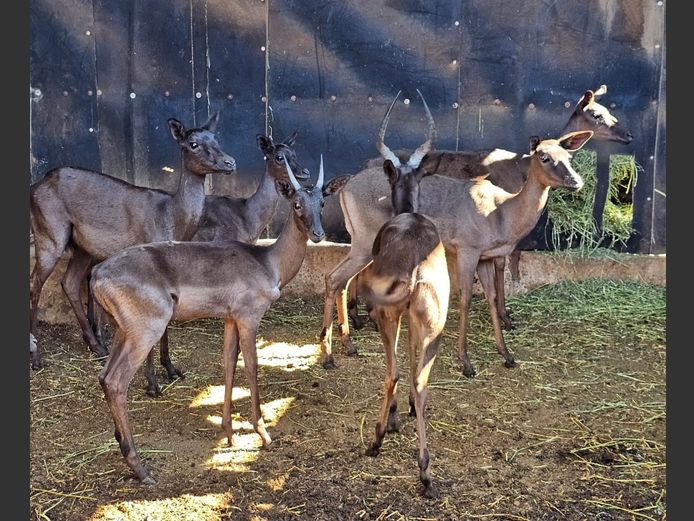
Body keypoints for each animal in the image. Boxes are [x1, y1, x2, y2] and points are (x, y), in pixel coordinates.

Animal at [29, 112, 236, 370]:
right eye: (193, 143)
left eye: (215, 138)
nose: (230, 162)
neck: (171, 220)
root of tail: (34, 187)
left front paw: (170, 367)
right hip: (49, 233)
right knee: (35, 284)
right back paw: (37, 357)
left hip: (82, 246)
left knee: (69, 282)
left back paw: (97, 346)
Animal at [90, 156, 351, 484]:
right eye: (296, 202)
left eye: (322, 201)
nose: (318, 233)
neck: (269, 263)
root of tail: (96, 274)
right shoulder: (249, 316)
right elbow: (251, 367)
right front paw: (263, 433)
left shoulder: (229, 319)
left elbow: (228, 364)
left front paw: (228, 433)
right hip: (145, 331)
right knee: (116, 381)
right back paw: (141, 468)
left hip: (122, 332)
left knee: (103, 376)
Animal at [318, 93, 594, 376]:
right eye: (544, 156)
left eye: (568, 157)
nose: (575, 181)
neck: (500, 209)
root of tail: (347, 185)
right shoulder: (467, 253)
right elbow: (465, 299)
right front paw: (466, 361)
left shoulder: (485, 258)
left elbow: (492, 298)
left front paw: (506, 354)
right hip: (364, 246)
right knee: (334, 278)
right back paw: (330, 355)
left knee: (343, 281)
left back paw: (349, 343)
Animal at [344, 85, 632, 334]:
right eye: (596, 114)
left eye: (608, 109)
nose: (628, 135)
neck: (520, 170)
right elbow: (504, 264)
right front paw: (506, 316)